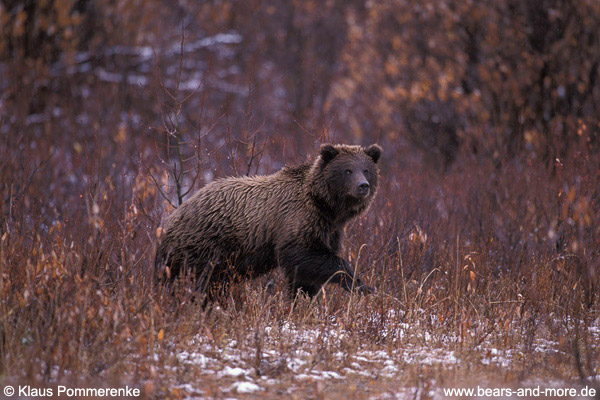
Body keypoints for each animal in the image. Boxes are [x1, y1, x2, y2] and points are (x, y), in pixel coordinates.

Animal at [154, 144, 380, 296]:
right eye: (347, 170)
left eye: (366, 169)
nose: (363, 185)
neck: (325, 205)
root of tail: (170, 219)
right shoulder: (296, 221)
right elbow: (305, 255)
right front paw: (361, 284)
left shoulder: (329, 230)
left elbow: (305, 277)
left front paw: (303, 298)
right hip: (203, 246)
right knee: (198, 282)